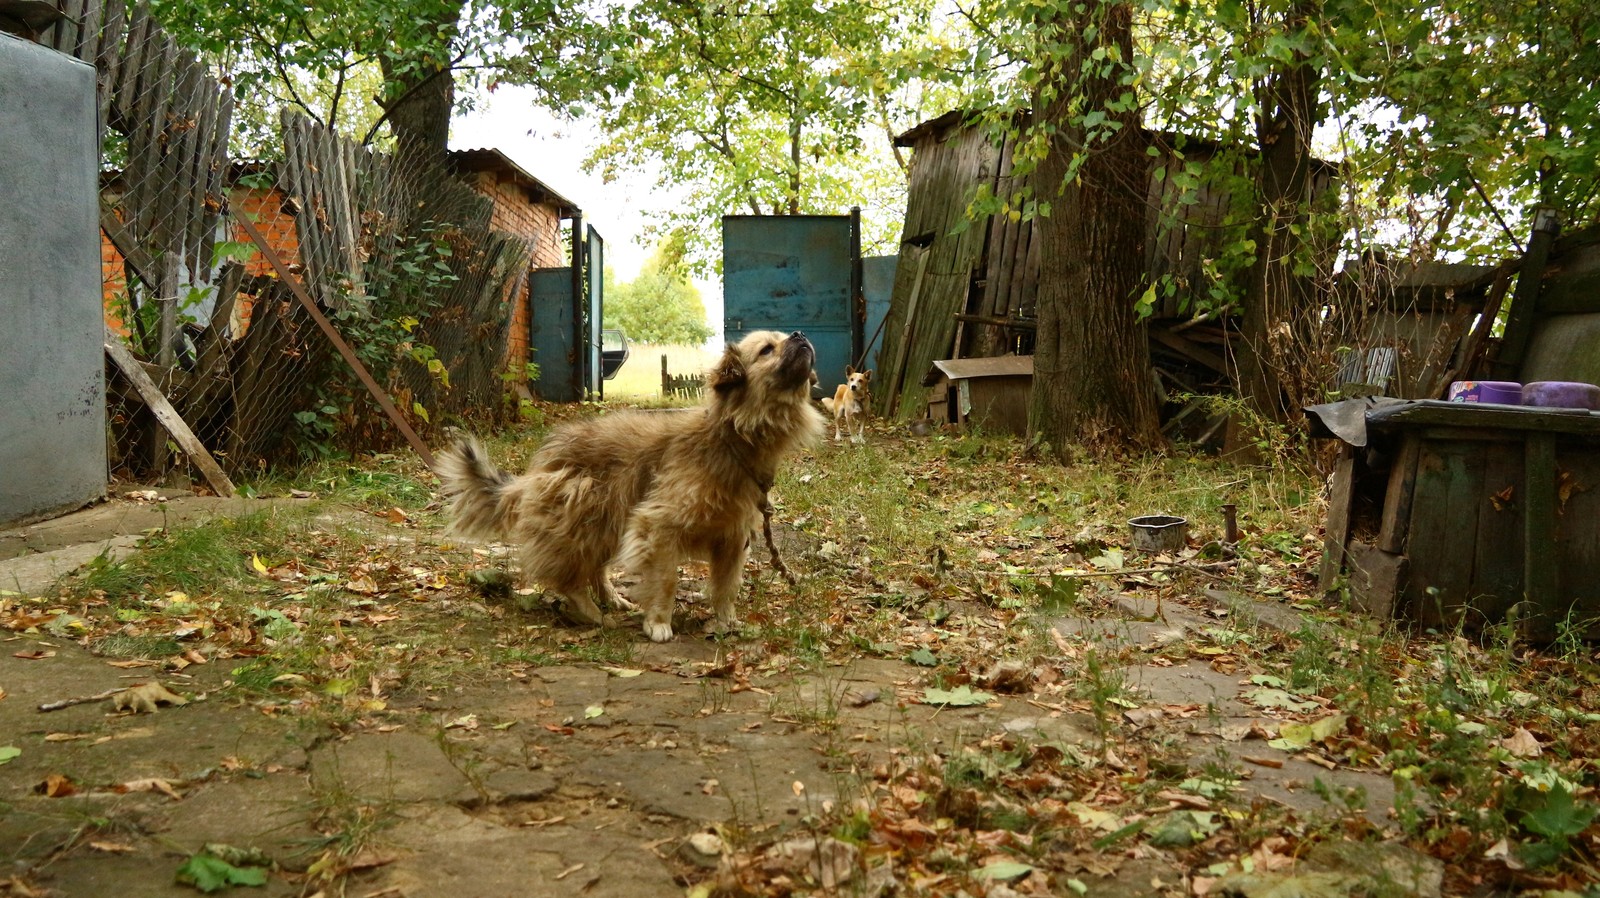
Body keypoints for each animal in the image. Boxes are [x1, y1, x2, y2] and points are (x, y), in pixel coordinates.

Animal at [438, 332, 825, 640]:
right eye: (767, 350)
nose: (801, 334)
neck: (731, 437)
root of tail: (537, 469)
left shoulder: (732, 538)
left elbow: (726, 587)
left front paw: (726, 622)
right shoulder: (658, 526)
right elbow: (666, 579)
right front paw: (659, 622)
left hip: (609, 519)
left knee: (595, 567)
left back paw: (610, 598)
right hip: (585, 508)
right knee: (568, 576)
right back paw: (591, 613)